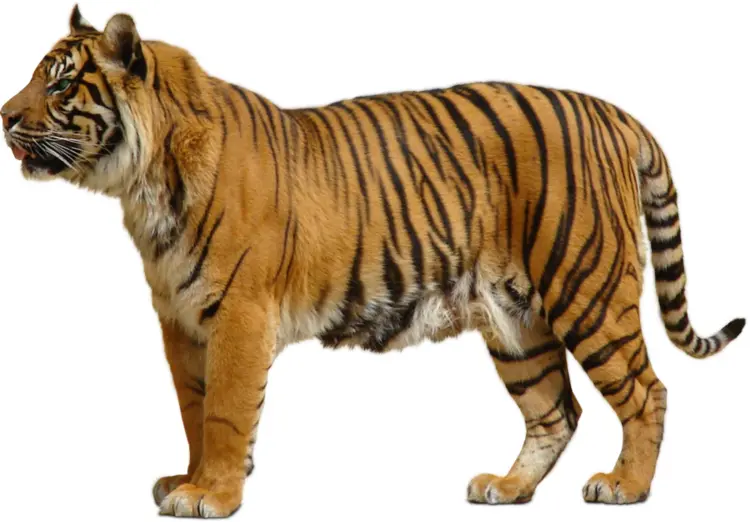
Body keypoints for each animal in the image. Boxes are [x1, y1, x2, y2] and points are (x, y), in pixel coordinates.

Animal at [2, 5, 745, 518]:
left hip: (587, 288)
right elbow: (194, 407)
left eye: (60, 86)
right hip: (515, 321)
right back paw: (507, 487)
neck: (142, 183)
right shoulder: (180, 320)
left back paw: (626, 486)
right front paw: (191, 478)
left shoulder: (239, 312)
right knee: (555, 410)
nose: (4, 116)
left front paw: (210, 494)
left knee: (646, 391)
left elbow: (226, 410)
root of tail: (617, 113)